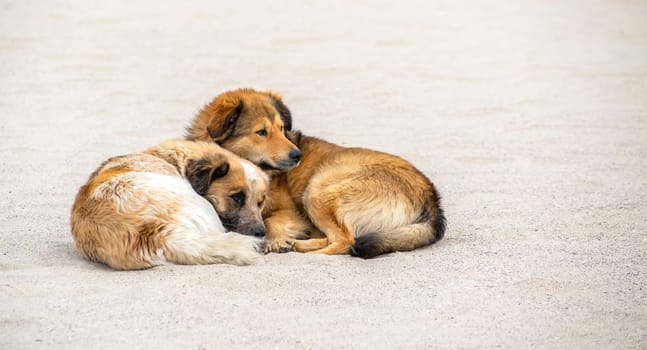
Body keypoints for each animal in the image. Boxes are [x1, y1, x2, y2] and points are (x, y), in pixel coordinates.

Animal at [187, 88, 446, 258]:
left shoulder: (291, 212)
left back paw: (302, 248)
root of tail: (431, 197)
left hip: (317, 190)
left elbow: (269, 221)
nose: (297, 155)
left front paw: (274, 240)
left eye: (282, 128)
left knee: (344, 241)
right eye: (261, 132)